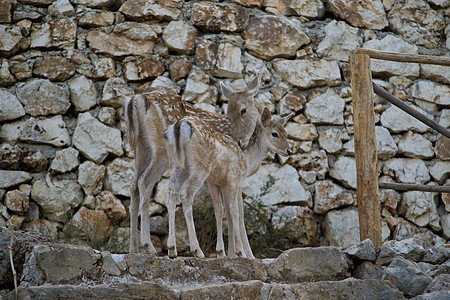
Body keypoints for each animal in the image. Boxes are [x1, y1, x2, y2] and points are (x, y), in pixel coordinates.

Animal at [121, 76, 262, 254]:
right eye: (229, 113)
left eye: (242, 110)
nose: (238, 141)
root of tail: (136, 99)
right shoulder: (233, 175)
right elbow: (236, 211)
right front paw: (244, 253)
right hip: (163, 151)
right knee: (145, 182)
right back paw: (151, 246)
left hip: (142, 147)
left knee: (134, 186)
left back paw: (134, 248)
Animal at [164, 107, 292, 258]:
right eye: (274, 133)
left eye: (286, 133)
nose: (289, 150)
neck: (247, 162)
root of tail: (180, 125)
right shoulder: (235, 179)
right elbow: (237, 212)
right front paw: (244, 253)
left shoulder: (216, 182)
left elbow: (220, 211)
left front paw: (225, 252)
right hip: (199, 167)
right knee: (186, 194)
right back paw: (197, 250)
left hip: (176, 165)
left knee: (171, 192)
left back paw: (172, 249)